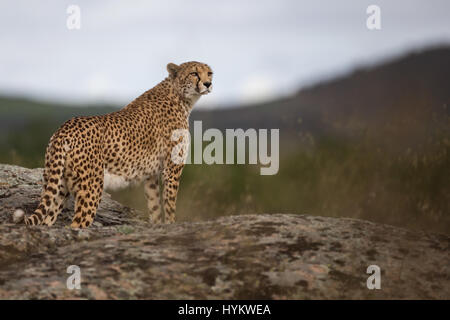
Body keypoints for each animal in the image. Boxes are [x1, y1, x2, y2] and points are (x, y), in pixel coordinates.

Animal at [19, 61, 213, 229]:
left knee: (47, 220)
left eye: (209, 73)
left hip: (59, 186)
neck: (181, 96)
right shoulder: (172, 168)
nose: (208, 83)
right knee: (77, 224)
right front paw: (171, 226)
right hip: (91, 188)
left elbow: (155, 207)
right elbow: (170, 205)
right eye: (194, 73)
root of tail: (65, 126)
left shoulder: (151, 175)